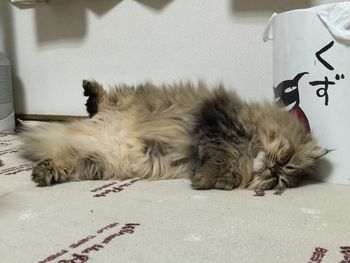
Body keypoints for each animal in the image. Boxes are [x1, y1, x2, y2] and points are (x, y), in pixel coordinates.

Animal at [20, 79, 328, 191]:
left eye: (278, 180)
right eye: (285, 160)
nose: (273, 169)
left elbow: (221, 171)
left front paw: (206, 178)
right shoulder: (216, 120)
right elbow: (219, 152)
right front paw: (204, 176)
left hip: (95, 163)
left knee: (65, 163)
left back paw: (45, 171)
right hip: (124, 101)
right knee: (102, 101)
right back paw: (91, 90)